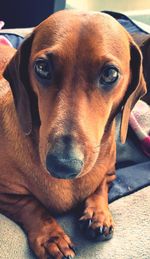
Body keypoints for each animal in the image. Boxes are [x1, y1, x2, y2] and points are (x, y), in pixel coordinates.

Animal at [0, 10, 146, 259]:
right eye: (42, 67)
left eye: (110, 74)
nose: (63, 164)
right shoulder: (6, 193)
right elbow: (31, 206)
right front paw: (52, 237)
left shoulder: (109, 174)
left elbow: (99, 189)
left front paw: (98, 214)